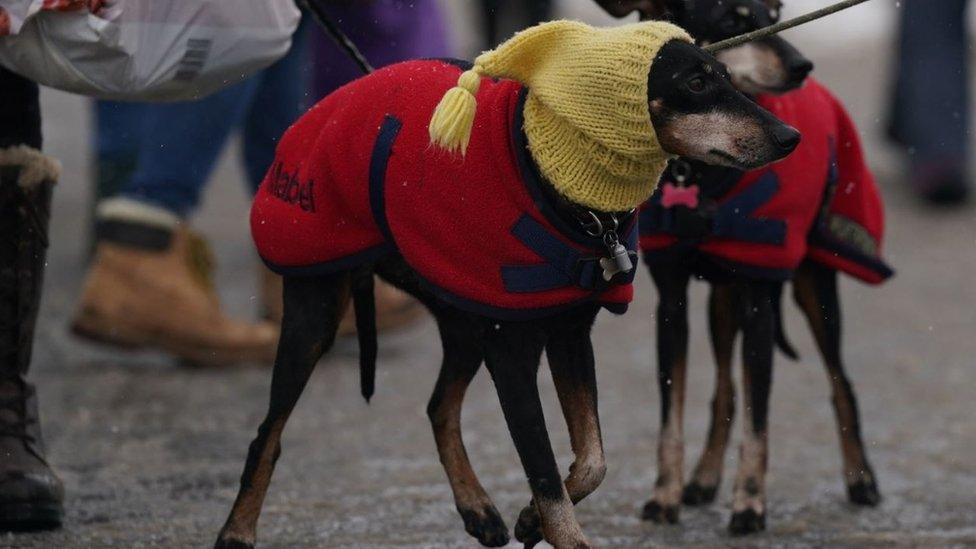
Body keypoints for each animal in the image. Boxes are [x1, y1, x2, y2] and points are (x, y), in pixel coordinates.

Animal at [215, 15, 800, 544]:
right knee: (268, 434)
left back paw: (478, 508)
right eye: (696, 82)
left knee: (439, 406)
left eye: (728, 75)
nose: (788, 136)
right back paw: (238, 531)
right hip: (315, 315)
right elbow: (544, 470)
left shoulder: (568, 335)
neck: (559, 178)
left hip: (464, 320)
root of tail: (321, 108)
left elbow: (591, 460)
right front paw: (558, 528)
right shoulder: (513, 354)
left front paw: (529, 519)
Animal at [632, 0, 892, 536]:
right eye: (696, 82)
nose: (790, 138)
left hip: (814, 290)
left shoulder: (759, 305)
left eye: (774, 14)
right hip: (721, 302)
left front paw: (749, 503)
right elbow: (675, 412)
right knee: (726, 391)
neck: (700, 179)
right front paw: (665, 495)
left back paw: (860, 478)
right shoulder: (672, 305)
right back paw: (704, 477)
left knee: (841, 384)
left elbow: (760, 420)